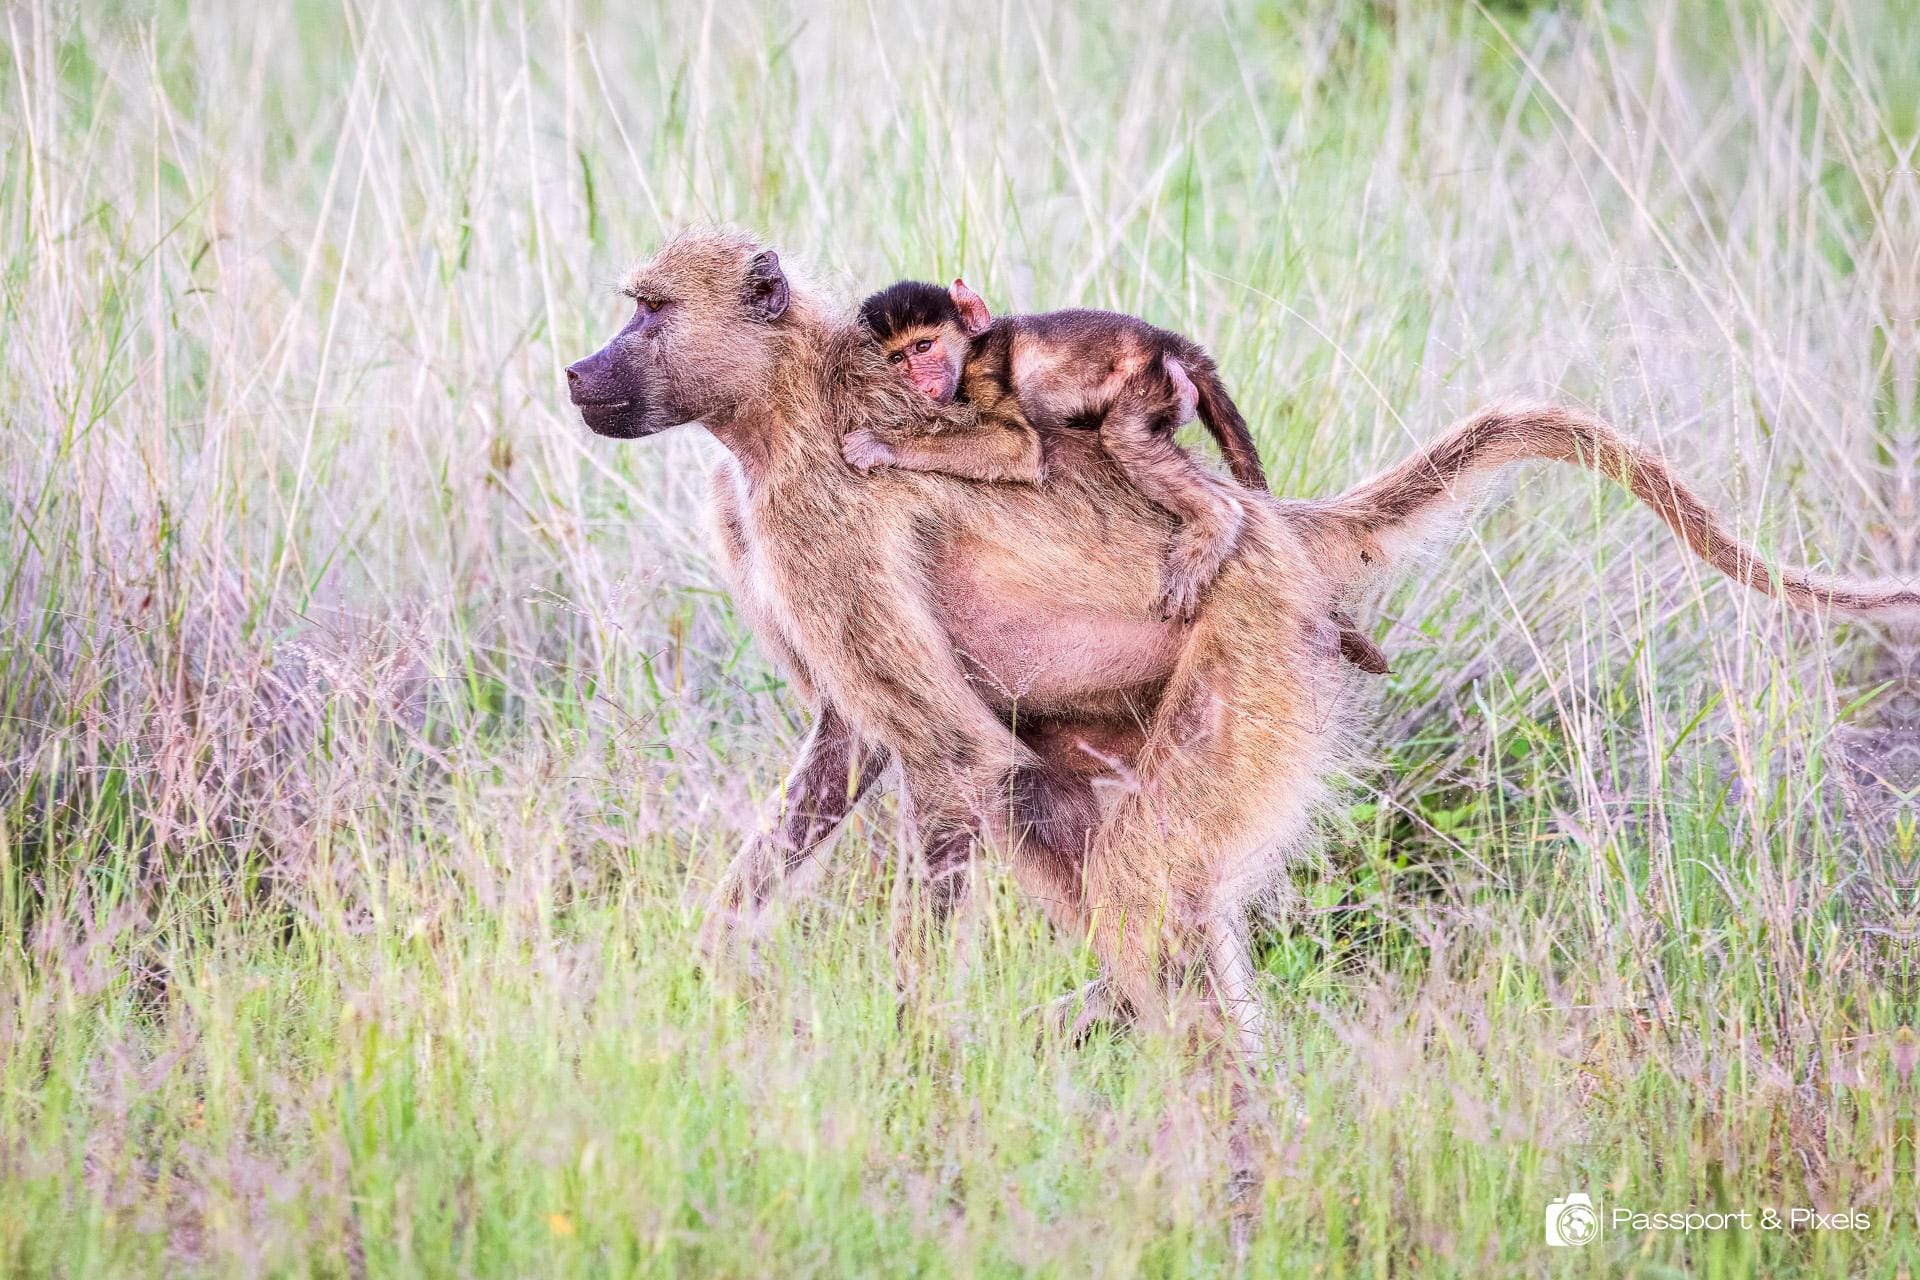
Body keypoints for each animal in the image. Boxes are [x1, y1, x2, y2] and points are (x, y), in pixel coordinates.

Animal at [848, 276, 1393, 672]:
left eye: (924, 347)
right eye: (897, 357)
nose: (919, 379)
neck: (972, 350)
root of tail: (1170, 344)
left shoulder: (986, 376)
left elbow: (1021, 450)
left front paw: (882, 445)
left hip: (1148, 382)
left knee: (1124, 438)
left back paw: (1216, 518)